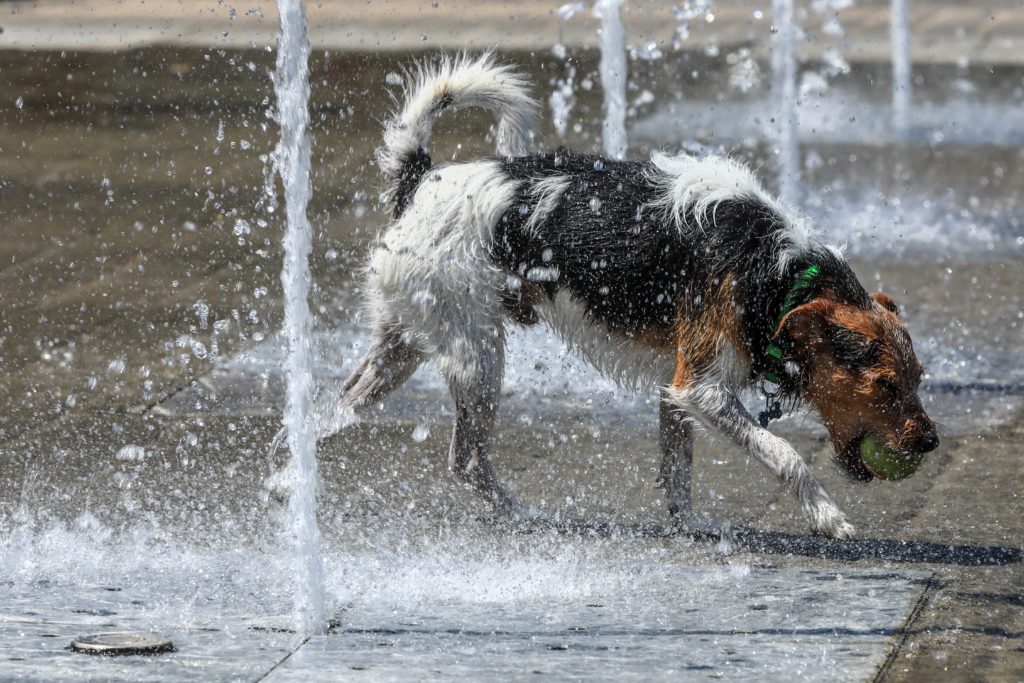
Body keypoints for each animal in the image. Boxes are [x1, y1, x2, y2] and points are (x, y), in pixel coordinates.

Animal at [299, 53, 937, 540]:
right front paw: (829, 518)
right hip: (477, 356)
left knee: (333, 409)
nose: (931, 442)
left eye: (918, 379)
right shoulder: (702, 389)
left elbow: (678, 473)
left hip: (401, 345)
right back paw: (529, 517)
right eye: (884, 384)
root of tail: (421, 180)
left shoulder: (676, 390)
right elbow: (786, 456)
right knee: (467, 460)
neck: (773, 270)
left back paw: (290, 486)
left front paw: (691, 528)